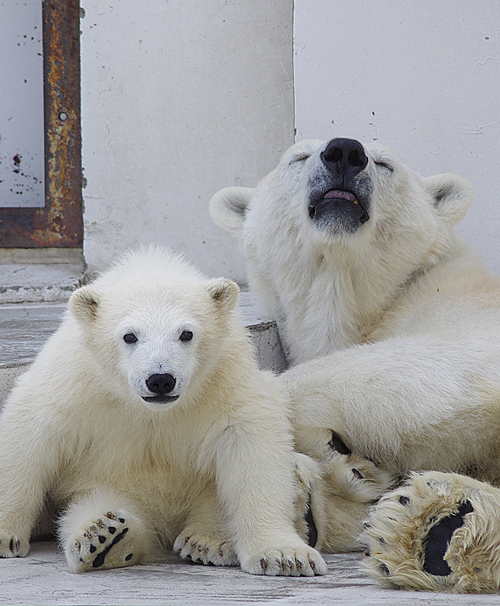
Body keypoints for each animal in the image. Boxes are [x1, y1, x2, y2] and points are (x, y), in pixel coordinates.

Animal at [0, 248, 328, 580]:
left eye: (186, 334)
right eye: (129, 336)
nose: (160, 380)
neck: (151, 409)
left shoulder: (222, 379)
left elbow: (250, 444)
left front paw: (286, 556)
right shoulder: (79, 381)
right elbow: (29, 430)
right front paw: (5, 537)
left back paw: (207, 540)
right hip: (106, 486)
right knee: (93, 505)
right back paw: (105, 536)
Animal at [211, 139, 500, 592]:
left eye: (384, 163)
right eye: (297, 157)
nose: (344, 151)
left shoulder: (459, 309)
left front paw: (342, 462)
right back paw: (431, 528)